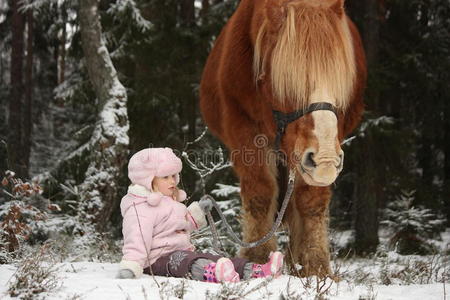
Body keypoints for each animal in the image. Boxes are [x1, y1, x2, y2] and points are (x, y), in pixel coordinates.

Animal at [200, 0, 366, 276]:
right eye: (288, 85)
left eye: (339, 84)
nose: (325, 159)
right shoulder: (245, 131)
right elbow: (260, 194)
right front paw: (257, 257)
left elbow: (311, 199)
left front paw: (316, 267)